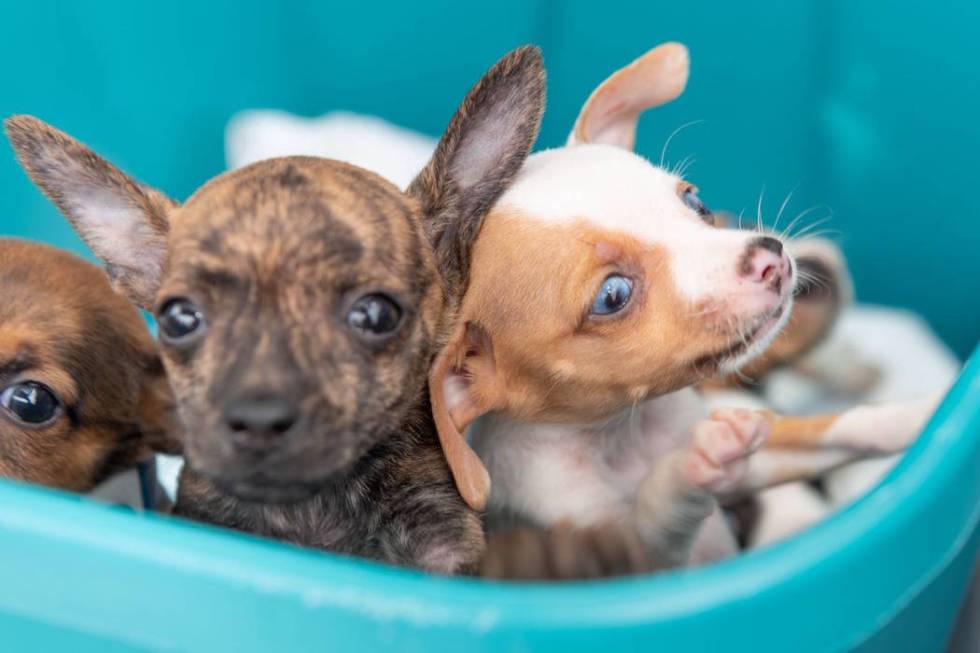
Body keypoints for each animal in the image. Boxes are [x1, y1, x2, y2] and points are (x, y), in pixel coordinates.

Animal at [426, 43, 940, 568]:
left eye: (695, 202)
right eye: (613, 296)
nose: (771, 259)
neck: (623, 437)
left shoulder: (768, 446)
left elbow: (845, 425)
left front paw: (929, 413)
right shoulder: (632, 559)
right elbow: (660, 510)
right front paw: (690, 468)